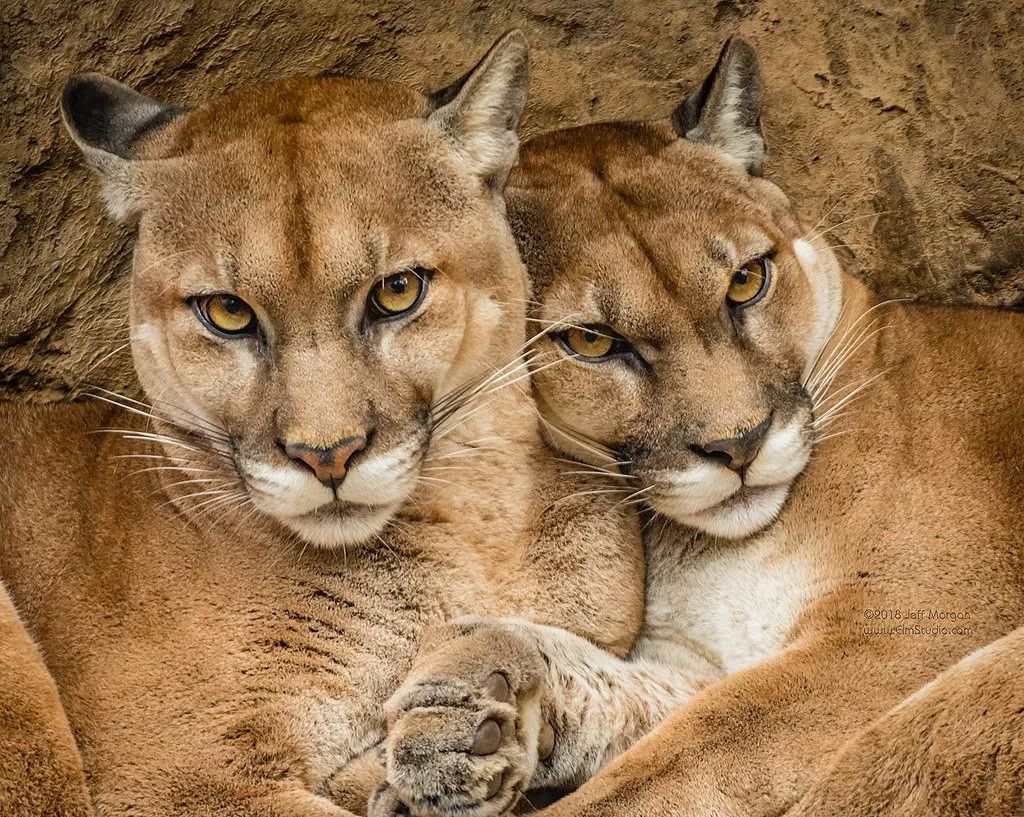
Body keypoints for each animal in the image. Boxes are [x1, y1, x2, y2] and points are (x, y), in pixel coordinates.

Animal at [372, 39, 1024, 817]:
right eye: (592, 341)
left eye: (746, 281)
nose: (738, 444)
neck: (697, 552)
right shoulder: (700, 659)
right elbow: (628, 689)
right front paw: (462, 700)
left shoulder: (893, 634)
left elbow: (675, 762)